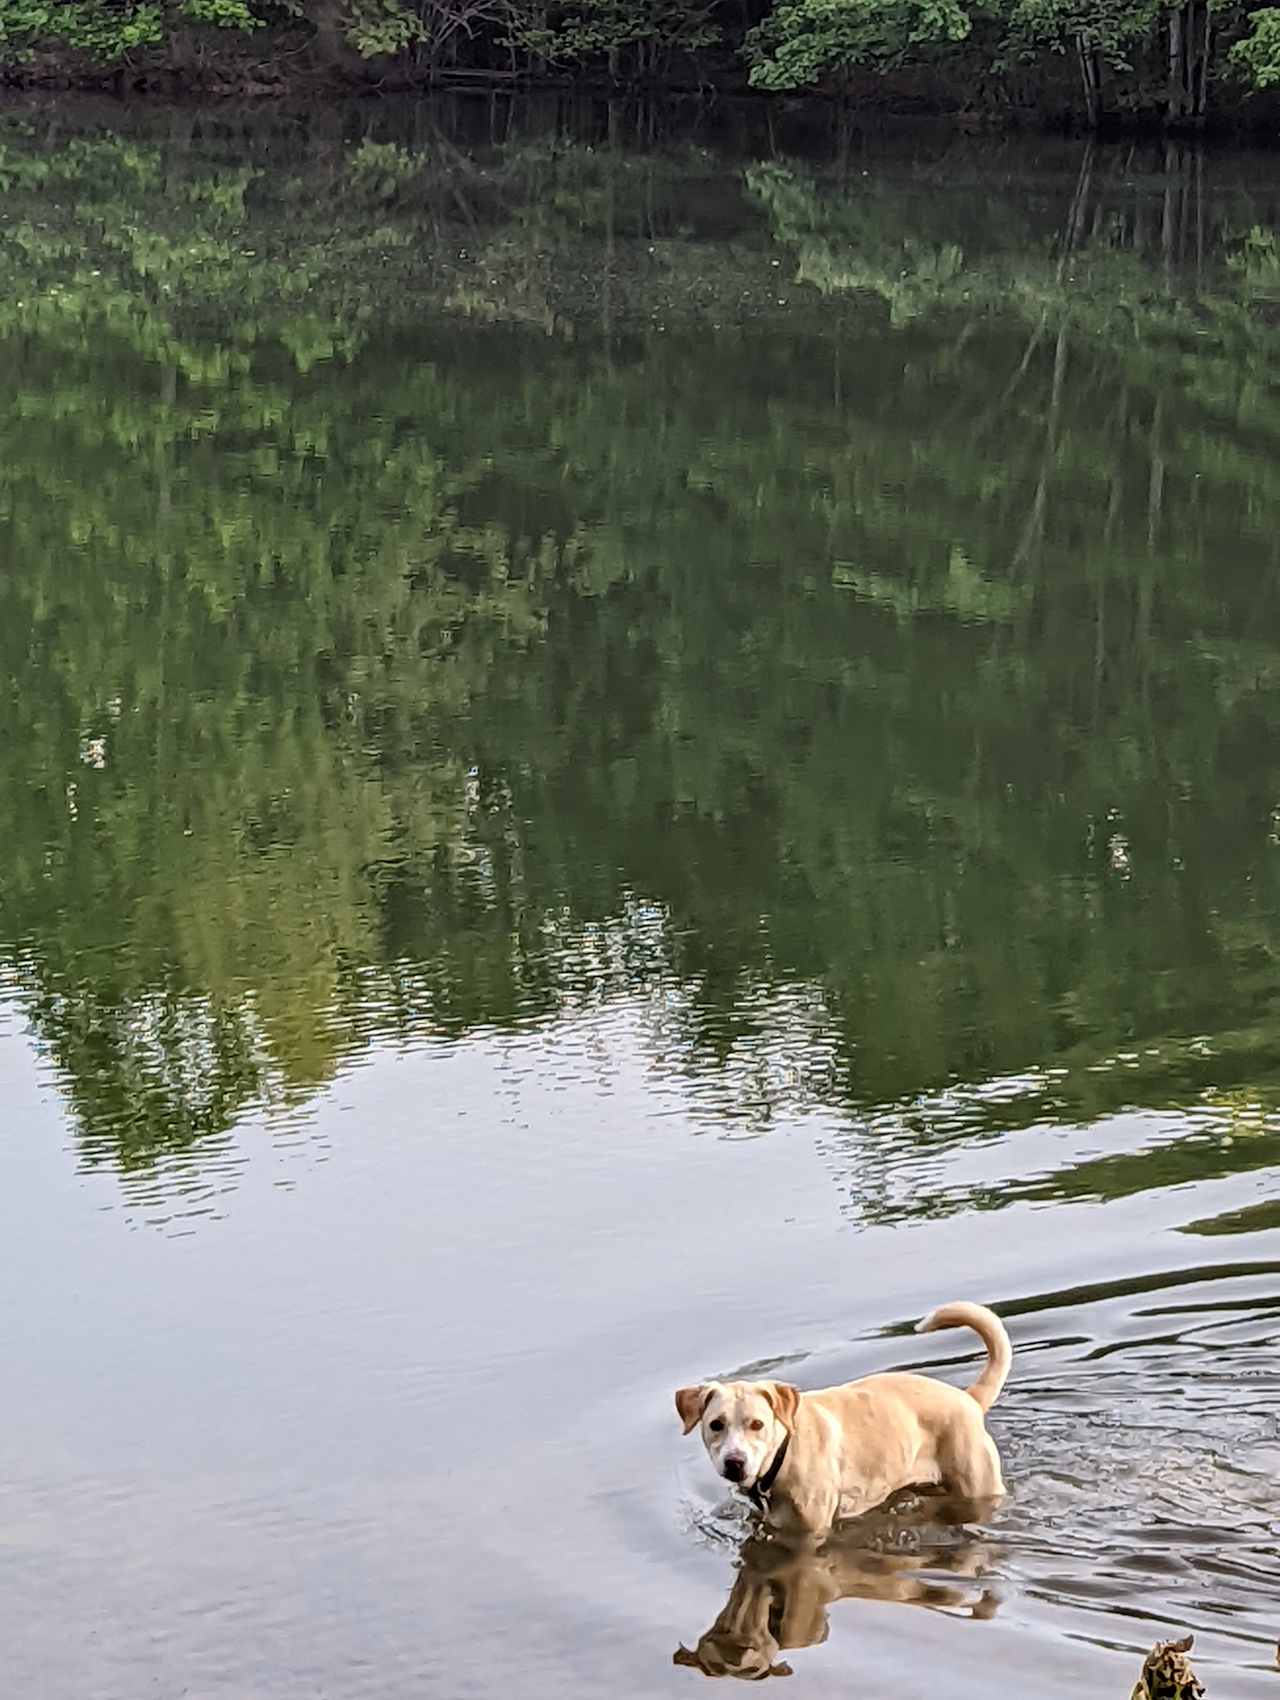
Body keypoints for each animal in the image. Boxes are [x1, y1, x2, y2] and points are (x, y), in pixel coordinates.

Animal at [673, 1298, 1013, 1543]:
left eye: (757, 1424)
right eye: (716, 1424)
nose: (735, 1462)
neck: (784, 1455)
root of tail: (969, 1397)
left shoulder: (811, 1532)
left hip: (977, 1483)